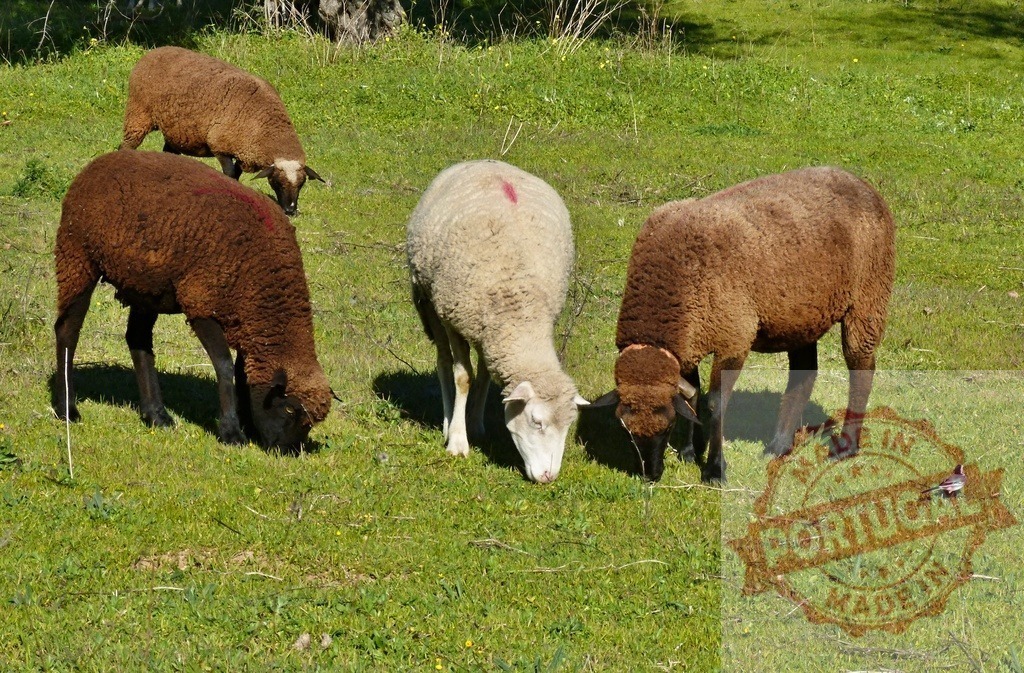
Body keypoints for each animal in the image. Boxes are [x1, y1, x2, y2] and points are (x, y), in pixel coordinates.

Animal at [53, 150, 333, 450]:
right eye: (290, 408)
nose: (287, 451)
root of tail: (98, 163)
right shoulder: (202, 303)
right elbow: (225, 367)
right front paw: (231, 432)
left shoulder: (245, 320)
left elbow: (243, 372)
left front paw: (246, 422)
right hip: (77, 256)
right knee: (67, 330)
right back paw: (67, 409)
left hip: (145, 285)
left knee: (138, 340)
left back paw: (156, 415)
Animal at [119, 46, 325, 216]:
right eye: (276, 181)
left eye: (302, 184)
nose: (290, 211)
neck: (264, 125)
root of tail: (153, 52)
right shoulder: (221, 148)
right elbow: (230, 175)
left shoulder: (242, 153)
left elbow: (237, 175)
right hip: (138, 114)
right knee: (126, 146)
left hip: (174, 130)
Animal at [406, 160, 588, 484]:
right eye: (536, 421)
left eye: (569, 425)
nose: (548, 476)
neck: (521, 309)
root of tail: (483, 162)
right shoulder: (455, 318)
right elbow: (462, 377)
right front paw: (457, 441)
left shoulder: (492, 325)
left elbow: (483, 376)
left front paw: (474, 426)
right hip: (429, 299)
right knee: (443, 363)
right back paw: (447, 421)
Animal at [591, 166, 895, 483]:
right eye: (625, 429)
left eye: (667, 426)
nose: (649, 475)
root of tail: (860, 182)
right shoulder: (690, 341)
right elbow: (692, 397)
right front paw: (689, 452)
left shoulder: (733, 338)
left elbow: (715, 404)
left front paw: (714, 469)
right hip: (801, 315)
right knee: (804, 374)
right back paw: (778, 446)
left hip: (869, 293)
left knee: (861, 366)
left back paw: (846, 447)